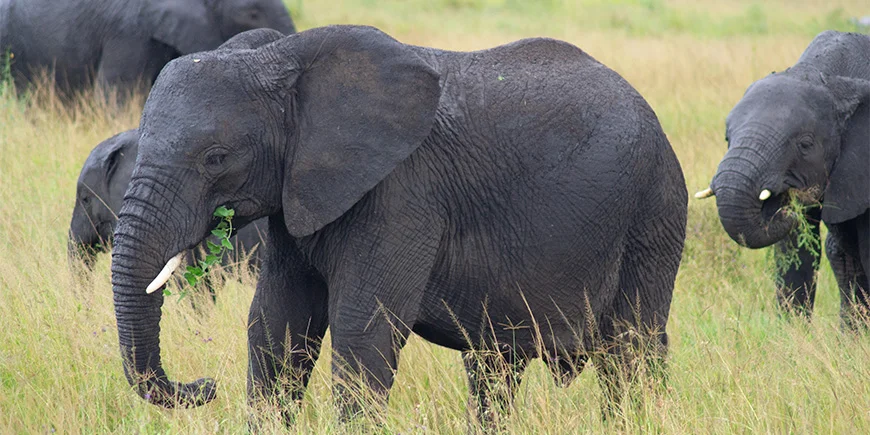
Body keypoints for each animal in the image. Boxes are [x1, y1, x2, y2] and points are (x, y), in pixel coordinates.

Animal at [108, 26, 687, 427]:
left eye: (215, 158)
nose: (204, 386)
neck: (284, 59)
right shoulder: (299, 197)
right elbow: (276, 324)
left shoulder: (402, 195)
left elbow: (362, 330)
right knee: (495, 366)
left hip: (653, 210)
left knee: (630, 351)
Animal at [697, 31, 870, 324]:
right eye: (727, 138)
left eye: (805, 144)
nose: (786, 198)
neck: (834, 79)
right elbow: (801, 251)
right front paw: (793, 330)